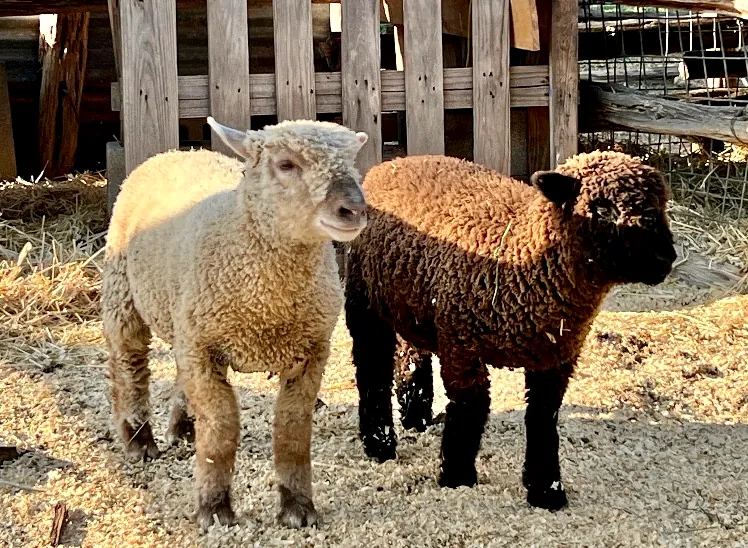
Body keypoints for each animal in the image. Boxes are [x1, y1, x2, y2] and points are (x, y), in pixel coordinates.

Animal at [101, 117, 369, 530]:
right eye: (286, 164)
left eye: (352, 161)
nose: (353, 209)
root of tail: (176, 151)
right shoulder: (203, 347)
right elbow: (222, 422)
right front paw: (214, 509)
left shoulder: (311, 351)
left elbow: (292, 426)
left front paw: (297, 508)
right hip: (123, 294)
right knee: (128, 365)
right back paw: (138, 441)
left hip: (186, 320)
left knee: (177, 372)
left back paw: (183, 428)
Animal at [344, 150, 676, 511]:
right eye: (602, 209)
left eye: (661, 205)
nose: (666, 258)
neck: (524, 254)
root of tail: (391, 162)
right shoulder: (462, 347)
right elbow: (470, 409)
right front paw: (457, 477)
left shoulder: (553, 359)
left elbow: (542, 419)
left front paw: (546, 490)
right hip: (365, 299)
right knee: (372, 367)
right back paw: (380, 443)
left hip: (413, 302)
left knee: (411, 352)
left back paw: (414, 415)